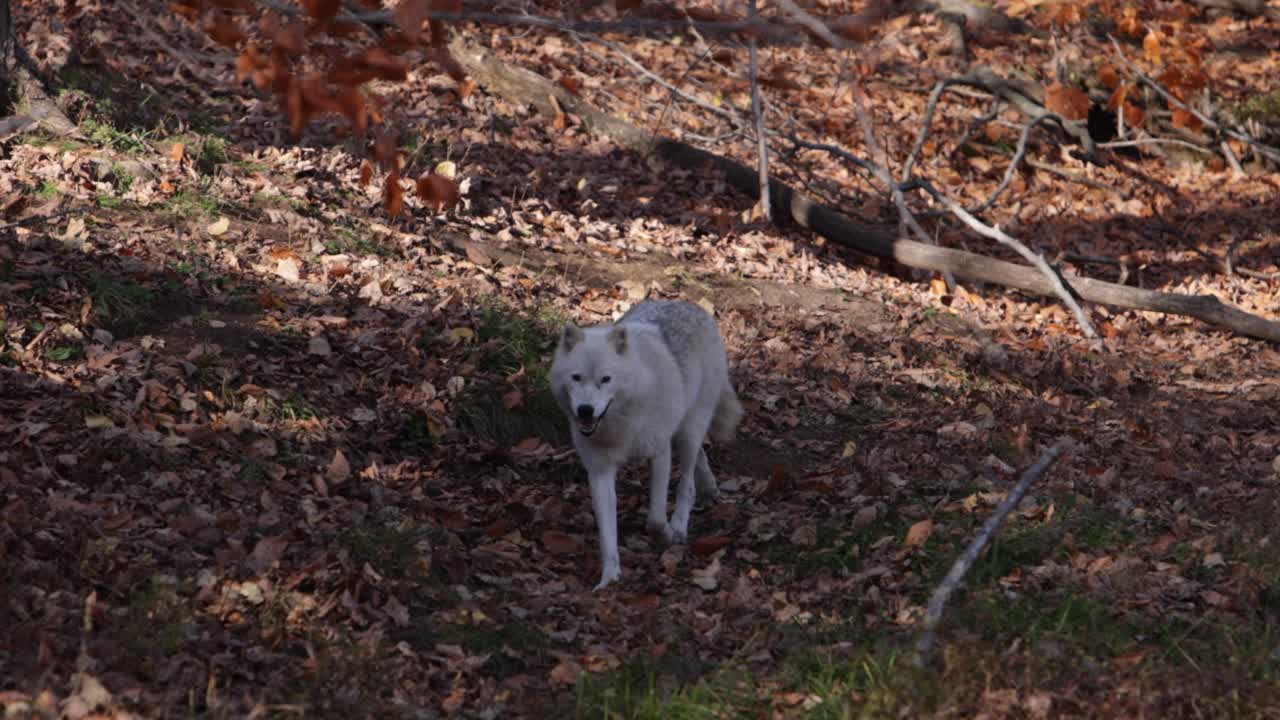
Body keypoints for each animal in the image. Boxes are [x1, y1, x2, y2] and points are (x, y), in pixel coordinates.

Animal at [550, 300, 744, 590]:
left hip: (689, 431)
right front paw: (609, 579)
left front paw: (666, 534)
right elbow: (607, 535)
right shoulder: (599, 471)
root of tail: (691, 305)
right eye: (576, 378)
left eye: (606, 379)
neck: (622, 423)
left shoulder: (660, 453)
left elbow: (654, 519)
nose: (585, 410)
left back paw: (680, 525)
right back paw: (709, 488)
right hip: (682, 429)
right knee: (700, 458)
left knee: (687, 483)